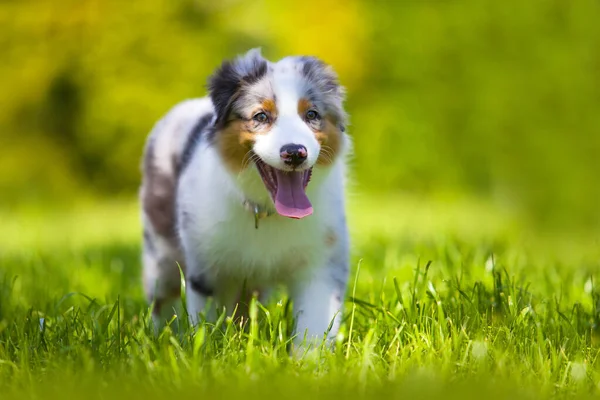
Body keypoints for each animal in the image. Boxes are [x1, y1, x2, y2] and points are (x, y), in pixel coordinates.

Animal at [140, 48, 350, 346]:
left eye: (312, 114)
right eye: (261, 116)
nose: (295, 152)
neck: (266, 211)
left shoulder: (322, 263)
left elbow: (314, 327)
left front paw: (307, 358)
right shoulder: (206, 269)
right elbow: (205, 319)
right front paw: (205, 347)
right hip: (161, 253)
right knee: (162, 299)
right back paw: (159, 336)